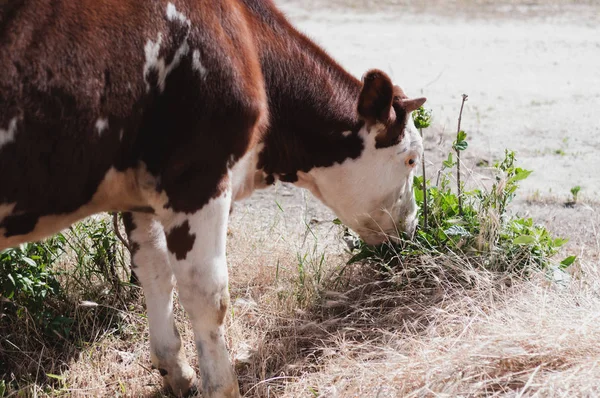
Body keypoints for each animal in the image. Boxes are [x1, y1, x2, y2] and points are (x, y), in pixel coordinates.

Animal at [2, 0, 426, 396]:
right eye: (411, 159)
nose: (412, 226)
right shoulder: (198, 175)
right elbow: (208, 294)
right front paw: (222, 385)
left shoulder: (143, 193)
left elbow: (153, 269)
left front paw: (176, 371)